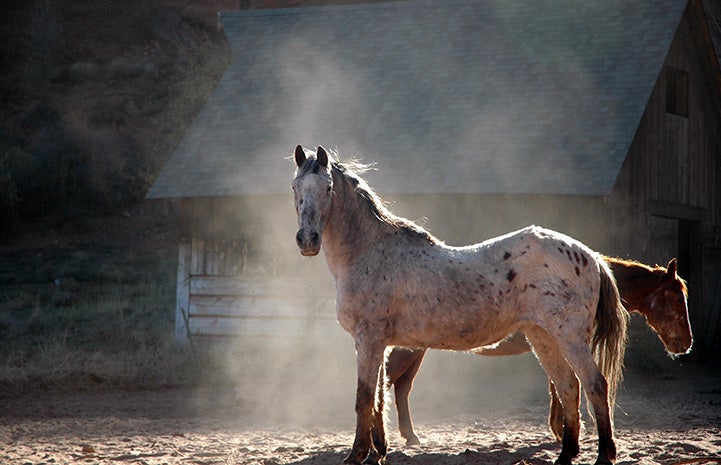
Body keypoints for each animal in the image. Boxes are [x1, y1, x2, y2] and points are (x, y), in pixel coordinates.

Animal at [388, 256, 692, 444]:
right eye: (678, 298)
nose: (686, 344)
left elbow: (558, 385)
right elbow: (560, 387)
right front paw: (561, 430)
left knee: (401, 388)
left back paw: (409, 435)